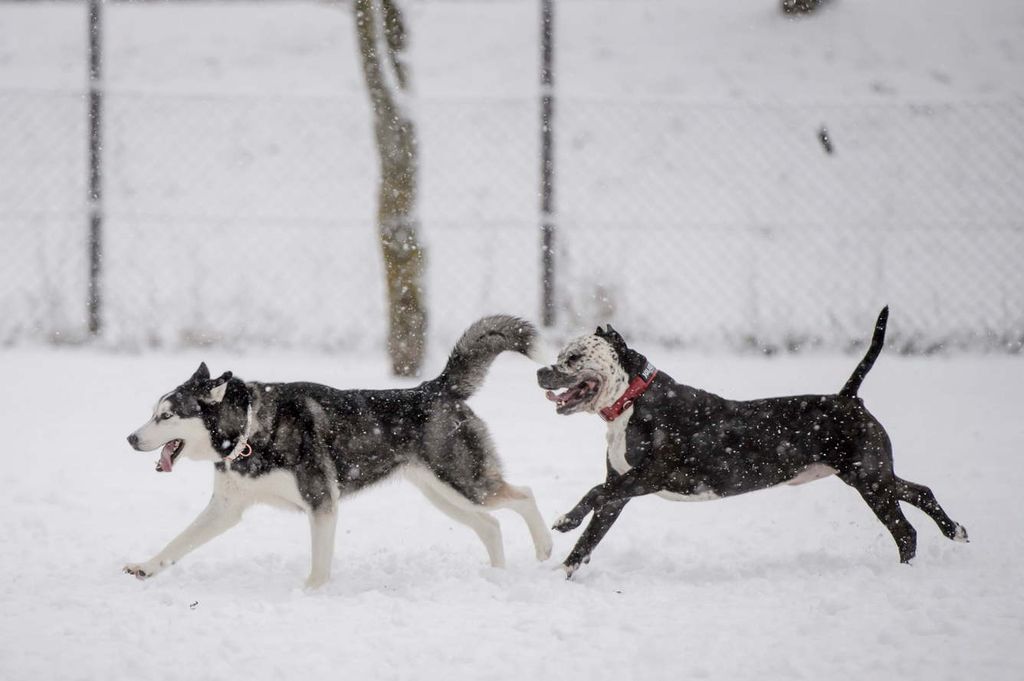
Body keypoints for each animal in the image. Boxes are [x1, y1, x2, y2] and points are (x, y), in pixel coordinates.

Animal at [125, 315, 552, 585]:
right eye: (153, 412)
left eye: (166, 415)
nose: (130, 439)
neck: (249, 431)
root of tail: (434, 388)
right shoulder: (225, 509)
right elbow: (179, 542)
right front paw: (147, 567)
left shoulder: (321, 503)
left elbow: (320, 563)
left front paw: (312, 592)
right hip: (442, 493)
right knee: (491, 525)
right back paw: (496, 575)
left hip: (466, 481)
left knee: (525, 495)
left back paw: (545, 549)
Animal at [536, 311, 966, 577]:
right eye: (559, 355)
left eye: (574, 358)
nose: (542, 370)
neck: (635, 399)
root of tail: (848, 398)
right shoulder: (622, 490)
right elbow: (589, 538)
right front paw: (560, 575)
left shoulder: (651, 475)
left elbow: (594, 492)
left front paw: (565, 519)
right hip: (873, 474)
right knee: (921, 491)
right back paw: (955, 530)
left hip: (869, 479)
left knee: (905, 530)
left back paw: (906, 570)